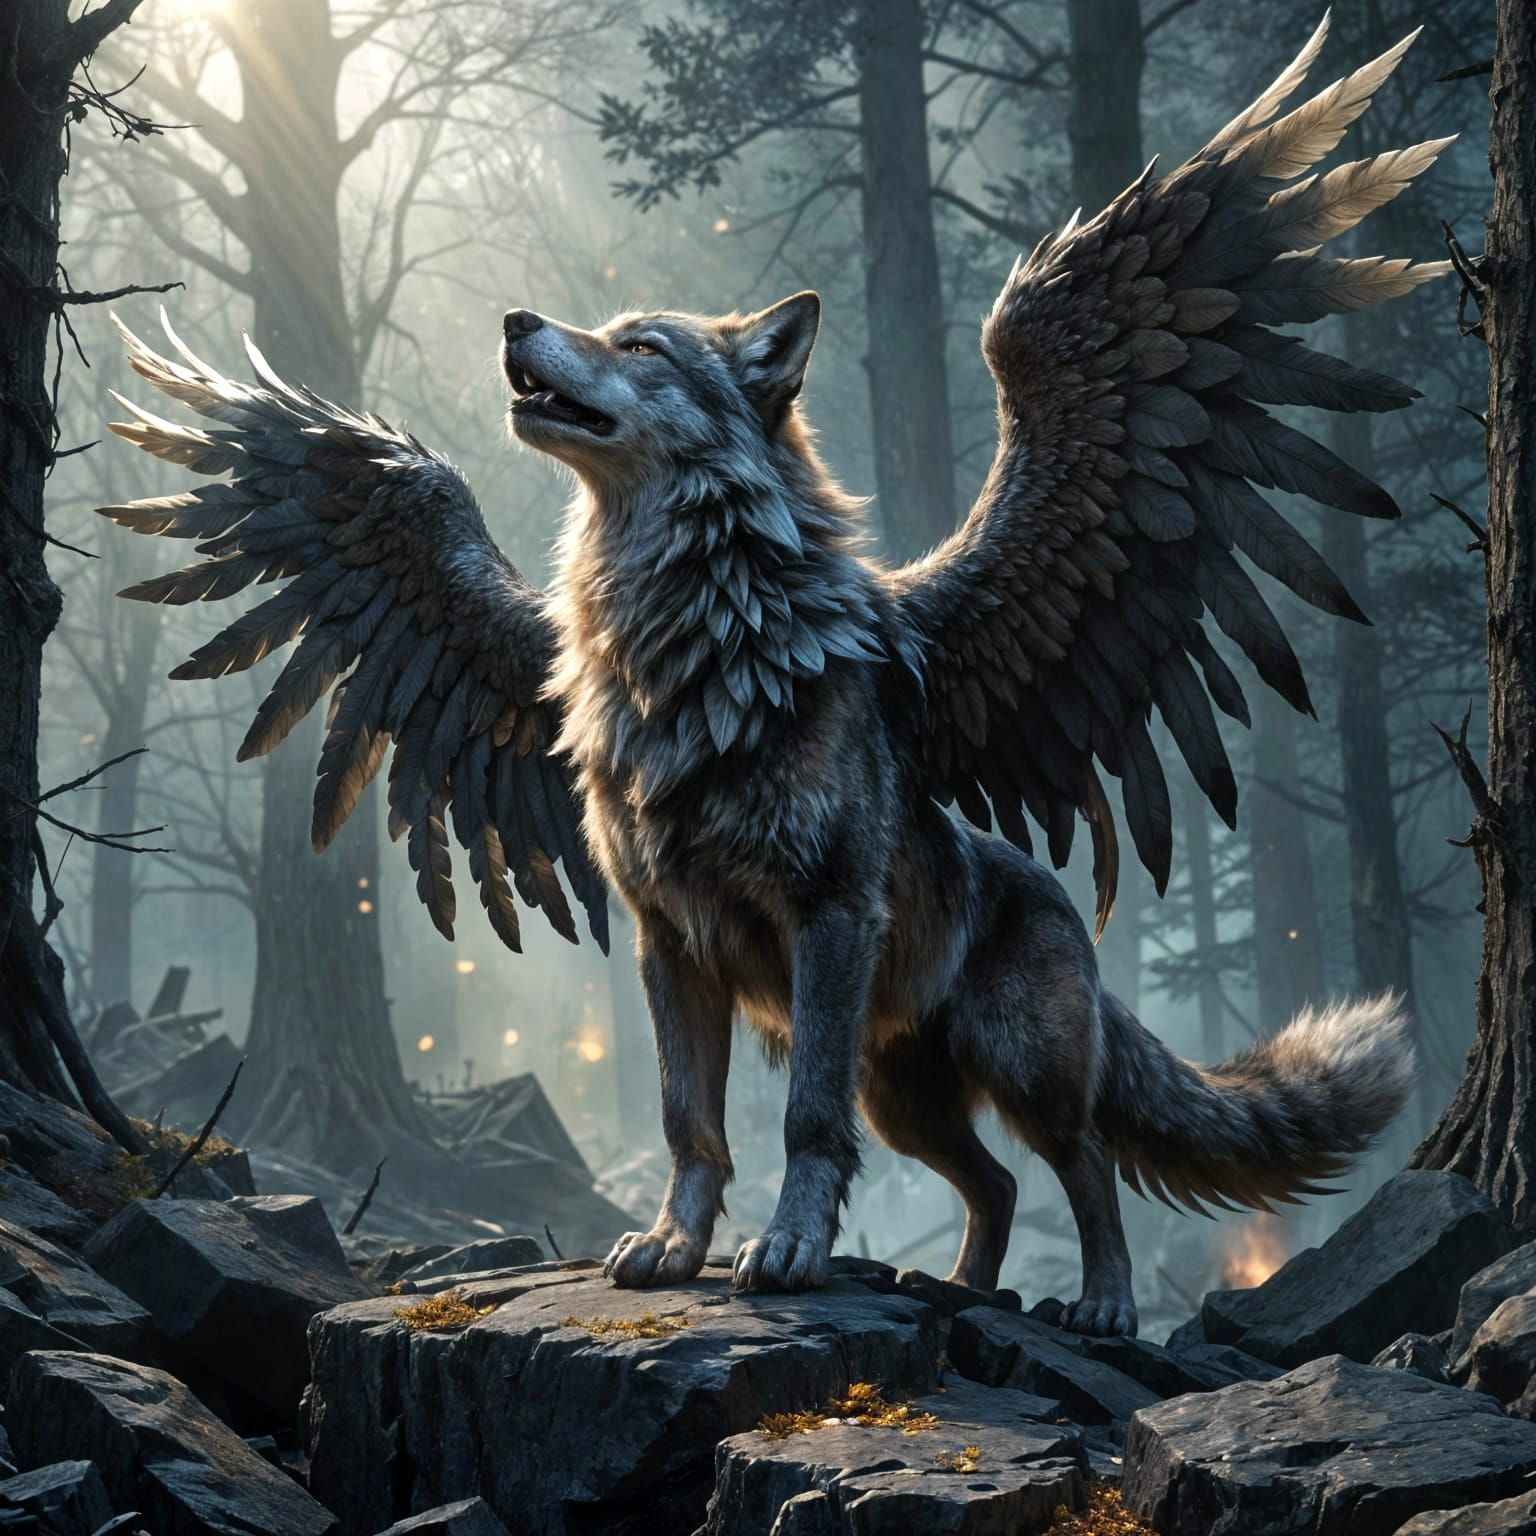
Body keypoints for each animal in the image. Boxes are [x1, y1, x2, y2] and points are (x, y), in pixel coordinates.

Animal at [103, 18, 1437, 1335]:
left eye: (640, 344)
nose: (516, 321)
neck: (688, 639)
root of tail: (1054, 899)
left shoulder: (826, 916)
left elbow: (800, 1125)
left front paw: (787, 1252)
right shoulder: (664, 941)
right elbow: (690, 1122)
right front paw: (672, 1248)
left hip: (1011, 1061)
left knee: (1086, 1164)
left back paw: (1100, 1303)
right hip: (907, 1091)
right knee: (995, 1183)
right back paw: (960, 1290)